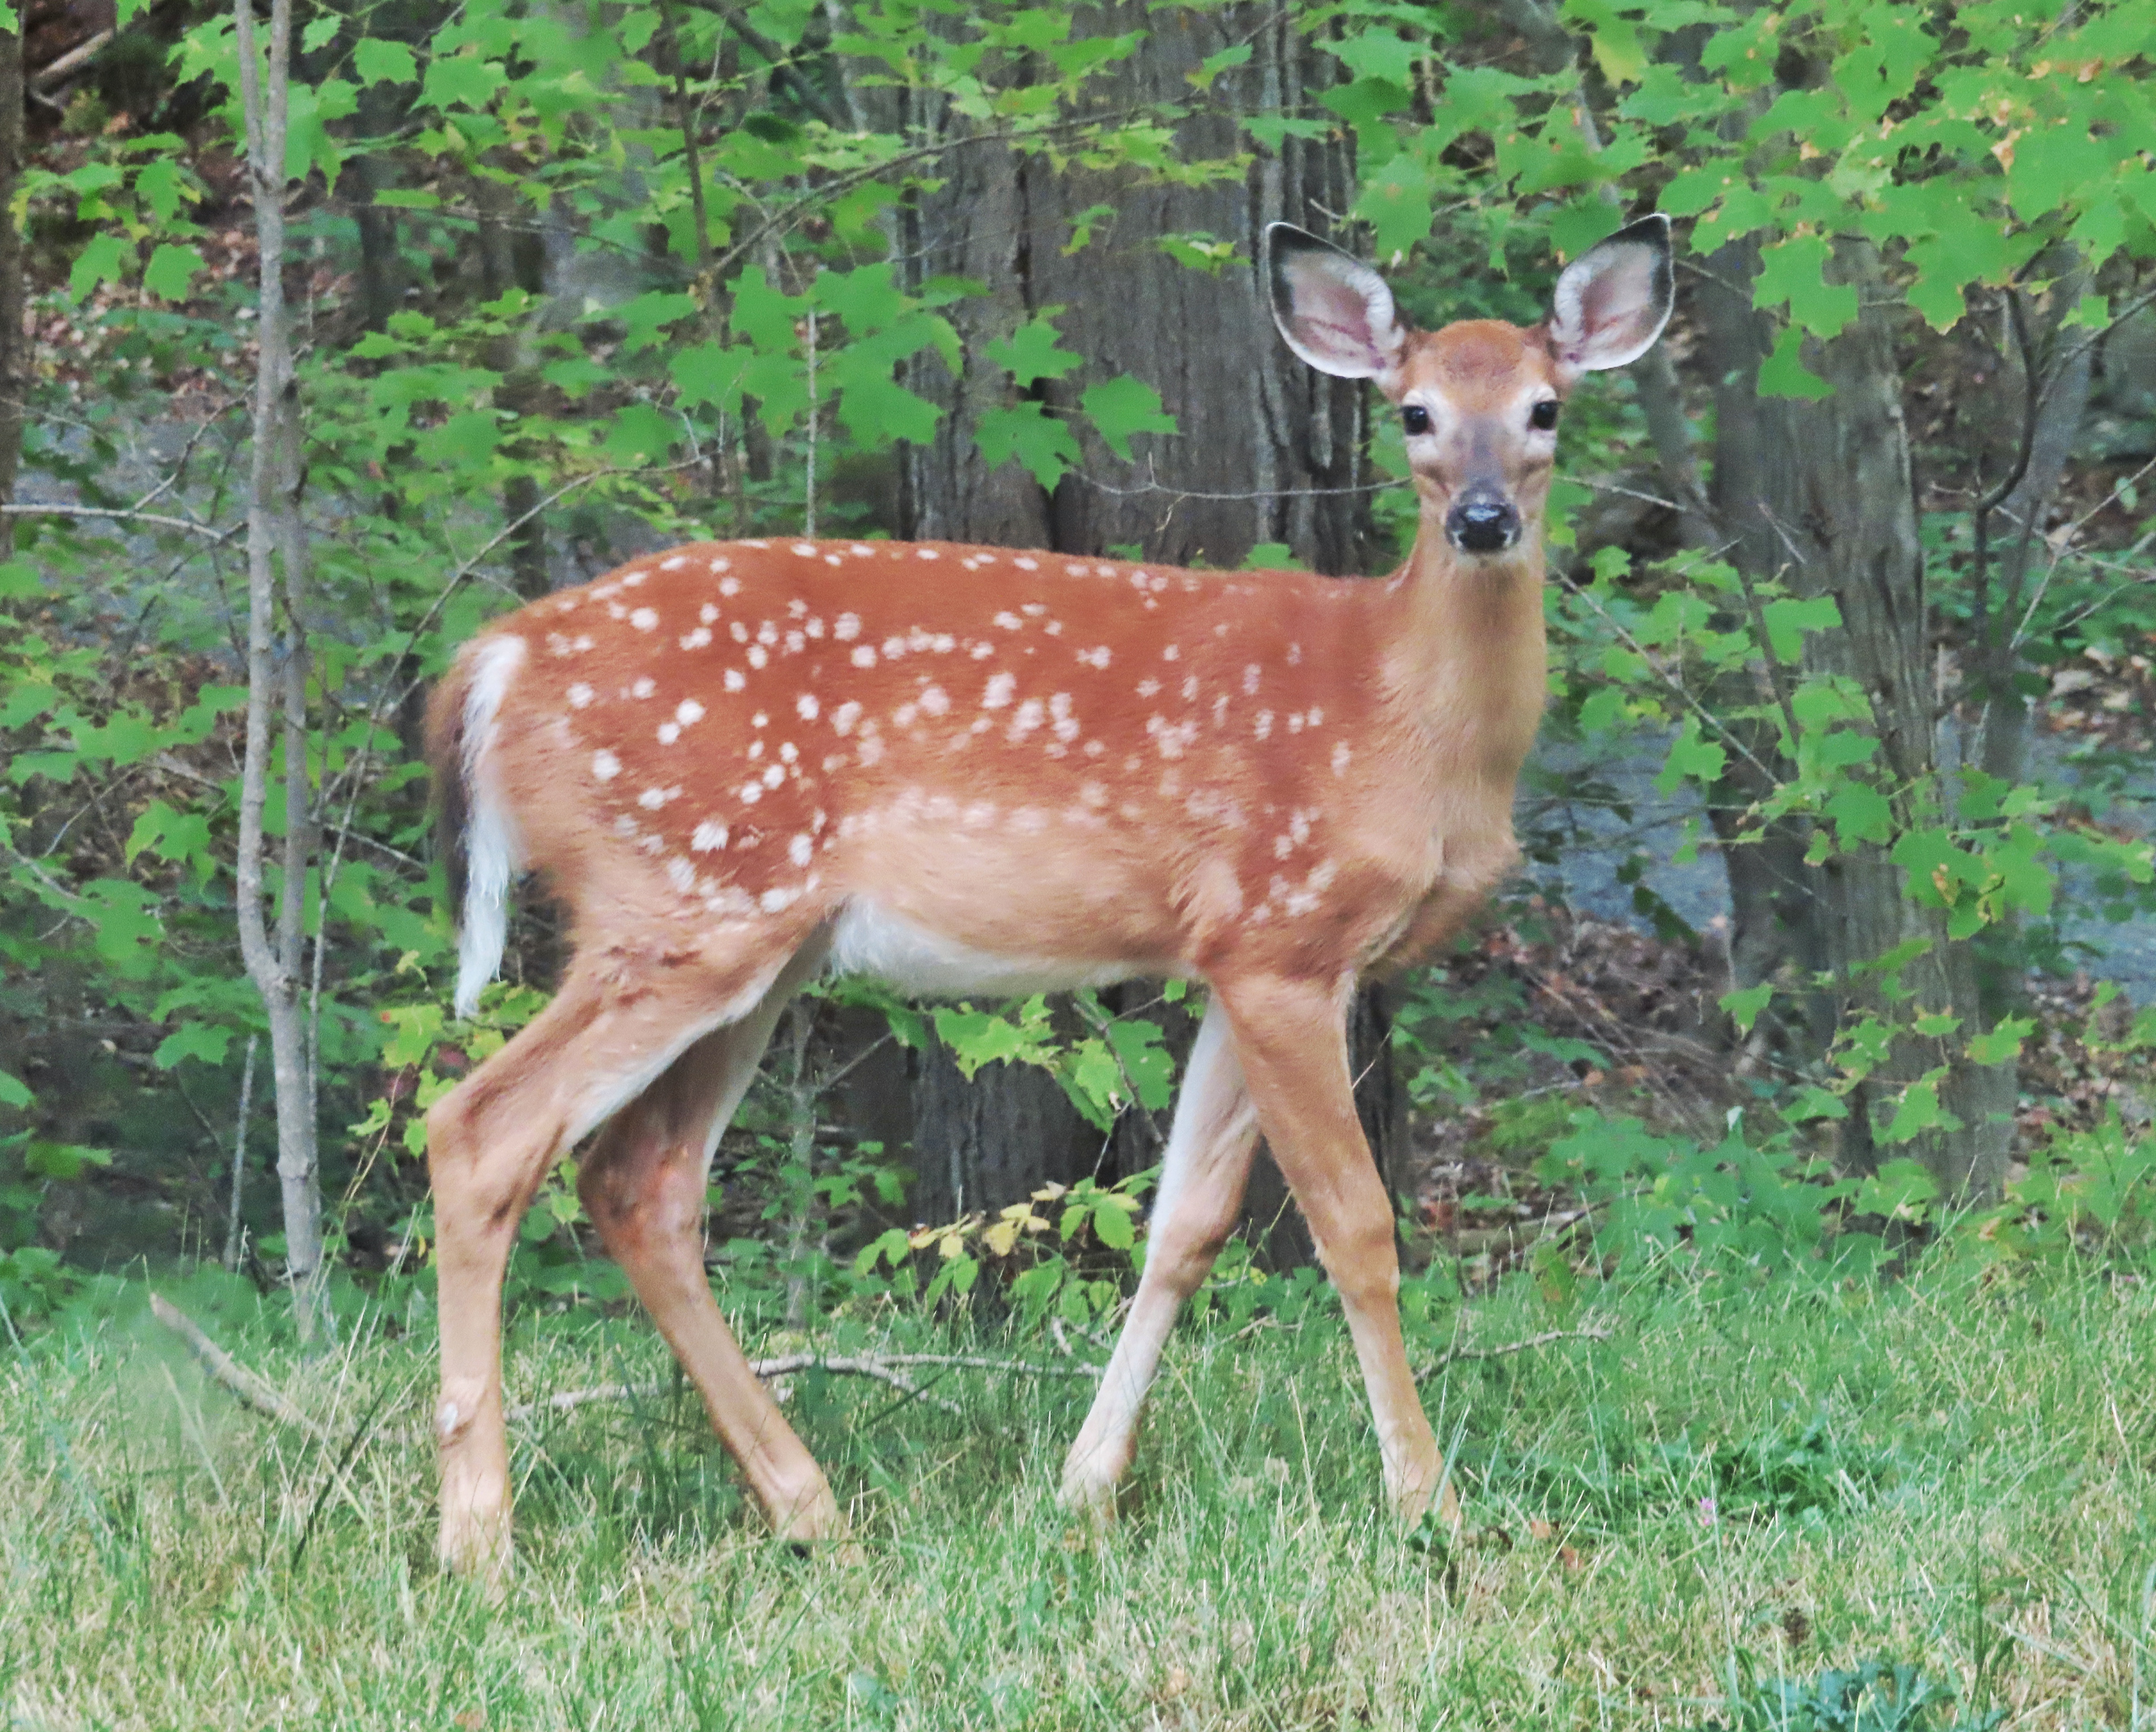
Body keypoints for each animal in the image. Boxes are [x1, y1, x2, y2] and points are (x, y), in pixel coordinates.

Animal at [421, 213, 1673, 1575]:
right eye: (1414, 414)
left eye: (1547, 407)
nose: (1486, 520)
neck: (1400, 721)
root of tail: (493, 662)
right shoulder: (1285, 936)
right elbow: (1358, 1229)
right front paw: (1428, 1503)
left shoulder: (1235, 956)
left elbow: (1185, 1226)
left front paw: (1085, 1488)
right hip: (680, 898)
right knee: (482, 1130)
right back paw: (480, 1538)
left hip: (757, 939)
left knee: (638, 1182)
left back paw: (814, 1511)